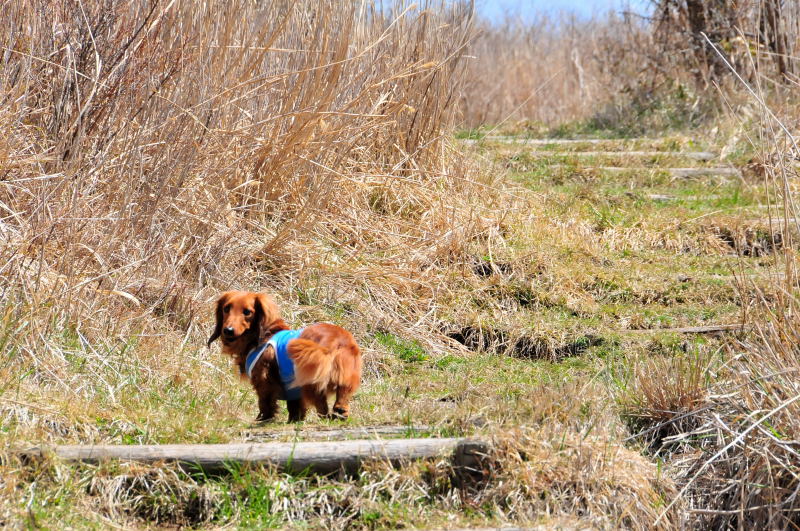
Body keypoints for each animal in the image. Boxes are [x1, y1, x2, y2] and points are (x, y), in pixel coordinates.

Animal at [209, 290, 366, 424]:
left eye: (247, 312)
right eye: (226, 309)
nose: (228, 330)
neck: (263, 336)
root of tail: (337, 340)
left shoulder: (263, 380)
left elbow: (265, 403)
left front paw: (263, 420)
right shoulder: (293, 392)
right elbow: (295, 408)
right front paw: (294, 421)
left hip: (311, 384)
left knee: (322, 407)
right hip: (345, 378)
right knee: (342, 399)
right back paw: (340, 413)